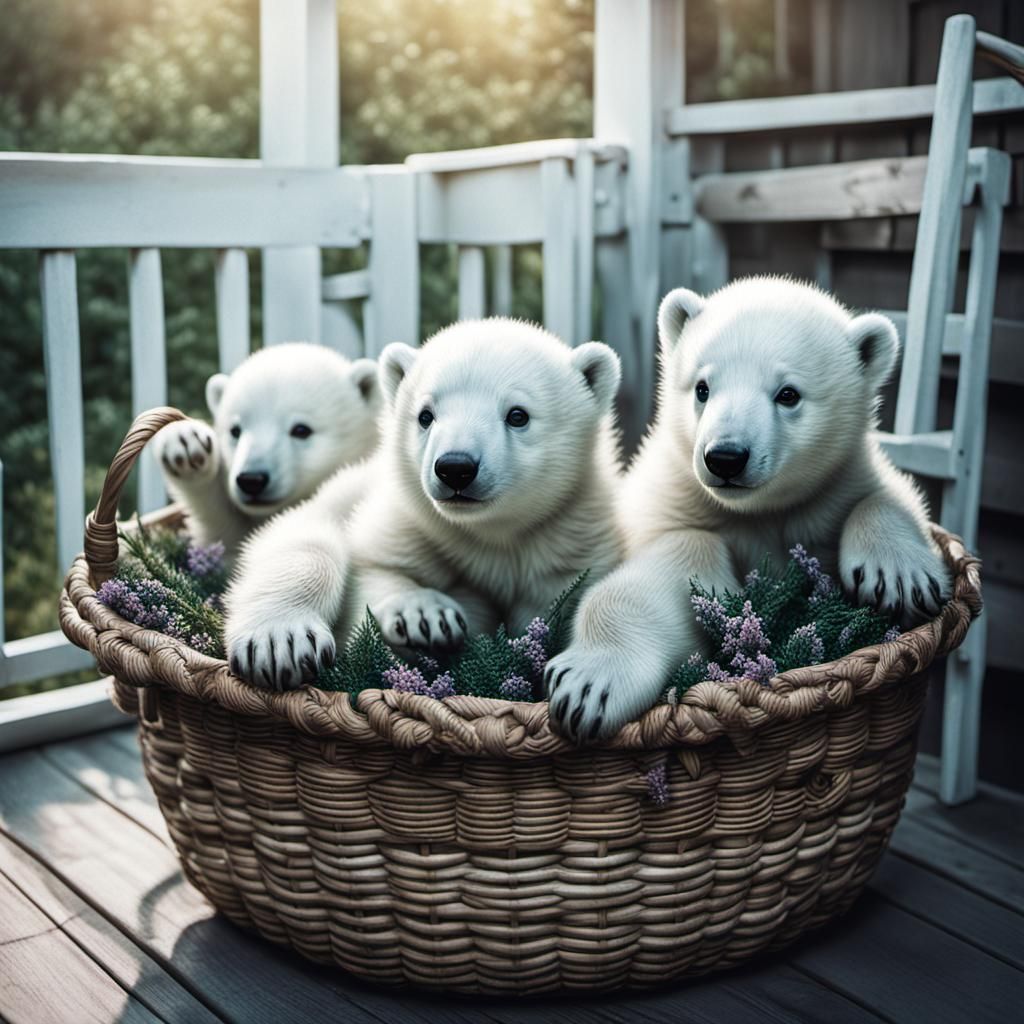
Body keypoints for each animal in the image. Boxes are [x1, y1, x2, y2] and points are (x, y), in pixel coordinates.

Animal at [223, 318, 626, 691]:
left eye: (517, 414)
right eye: (425, 415)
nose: (455, 468)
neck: (493, 535)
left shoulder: (569, 537)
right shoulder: (409, 522)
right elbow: (370, 566)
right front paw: (426, 616)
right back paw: (280, 641)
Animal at [544, 276, 953, 742]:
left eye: (788, 394)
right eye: (702, 387)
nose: (725, 457)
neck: (757, 510)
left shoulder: (837, 485)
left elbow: (888, 495)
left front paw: (899, 578)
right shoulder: (673, 505)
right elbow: (668, 571)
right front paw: (588, 684)